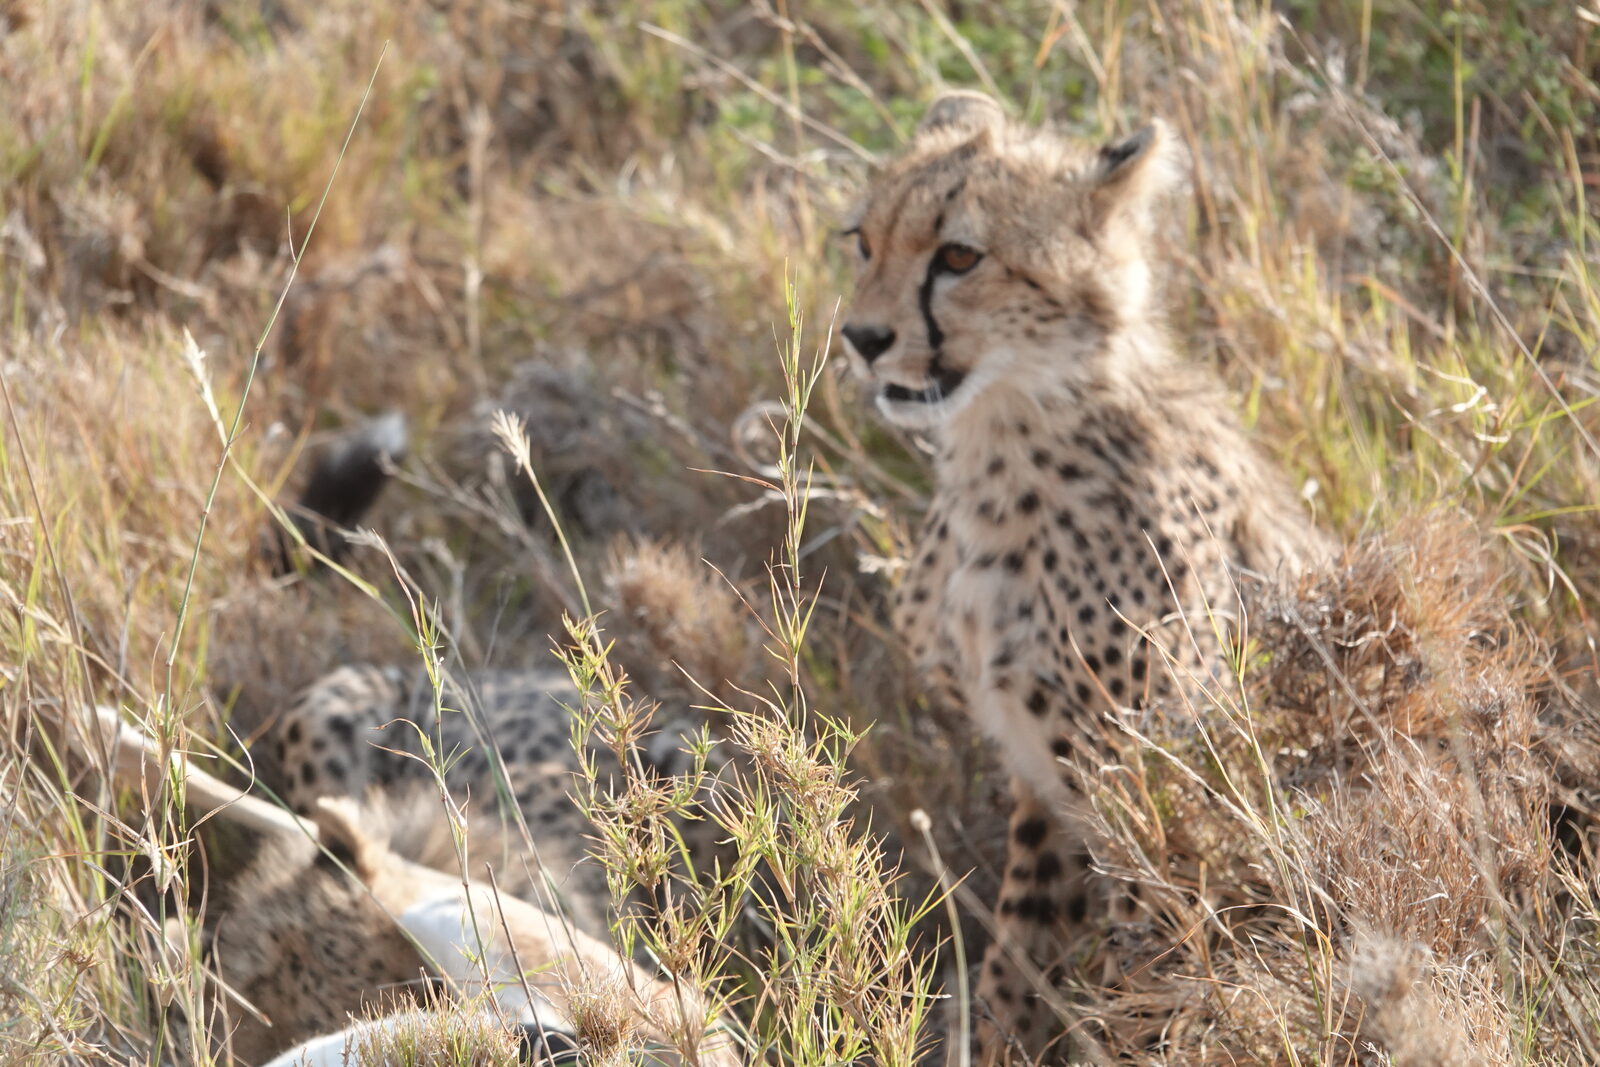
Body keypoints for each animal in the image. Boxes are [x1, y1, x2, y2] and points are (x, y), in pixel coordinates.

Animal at [839, 91, 1330, 1060]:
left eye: (959, 256)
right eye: (863, 241)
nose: (864, 338)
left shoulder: (1150, 784)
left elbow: (1146, 976)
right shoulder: (1044, 777)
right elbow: (1019, 960)